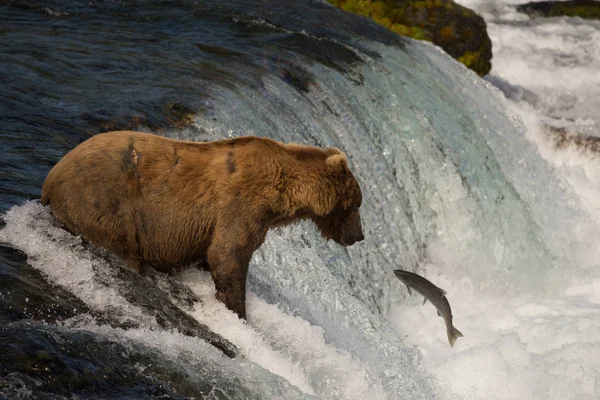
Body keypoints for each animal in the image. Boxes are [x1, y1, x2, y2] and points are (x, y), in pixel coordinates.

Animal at [41, 131, 366, 318]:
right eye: (356, 204)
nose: (359, 236)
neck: (285, 192)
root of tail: (50, 178)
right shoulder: (242, 204)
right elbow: (228, 254)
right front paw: (238, 313)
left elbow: (211, 255)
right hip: (103, 203)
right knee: (122, 248)